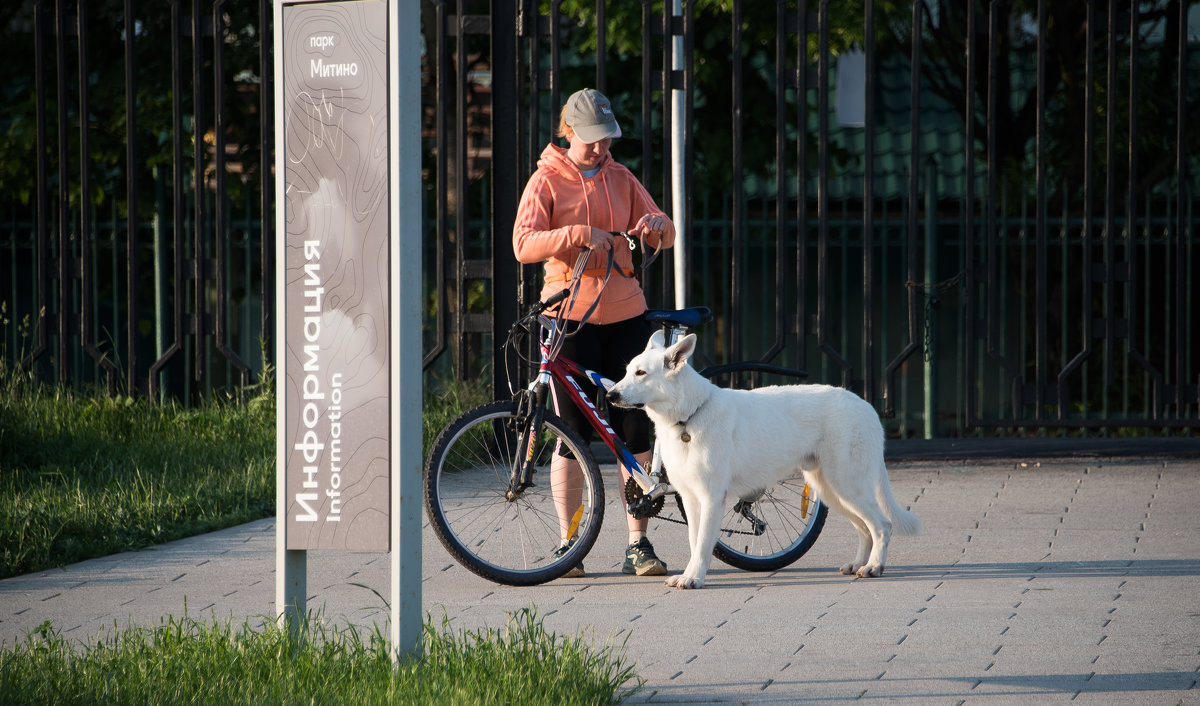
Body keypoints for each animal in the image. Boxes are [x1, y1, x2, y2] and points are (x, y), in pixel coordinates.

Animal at [609, 331, 916, 590]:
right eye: (626, 371)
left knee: (882, 525)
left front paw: (694, 578)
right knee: (865, 528)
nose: (610, 394)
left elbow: (703, 543)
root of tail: (866, 406)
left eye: (641, 373)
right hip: (833, 491)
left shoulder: (711, 498)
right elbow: (695, 542)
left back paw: (874, 567)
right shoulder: (690, 498)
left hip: (847, 486)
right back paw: (859, 564)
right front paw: (690, 574)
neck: (689, 416)